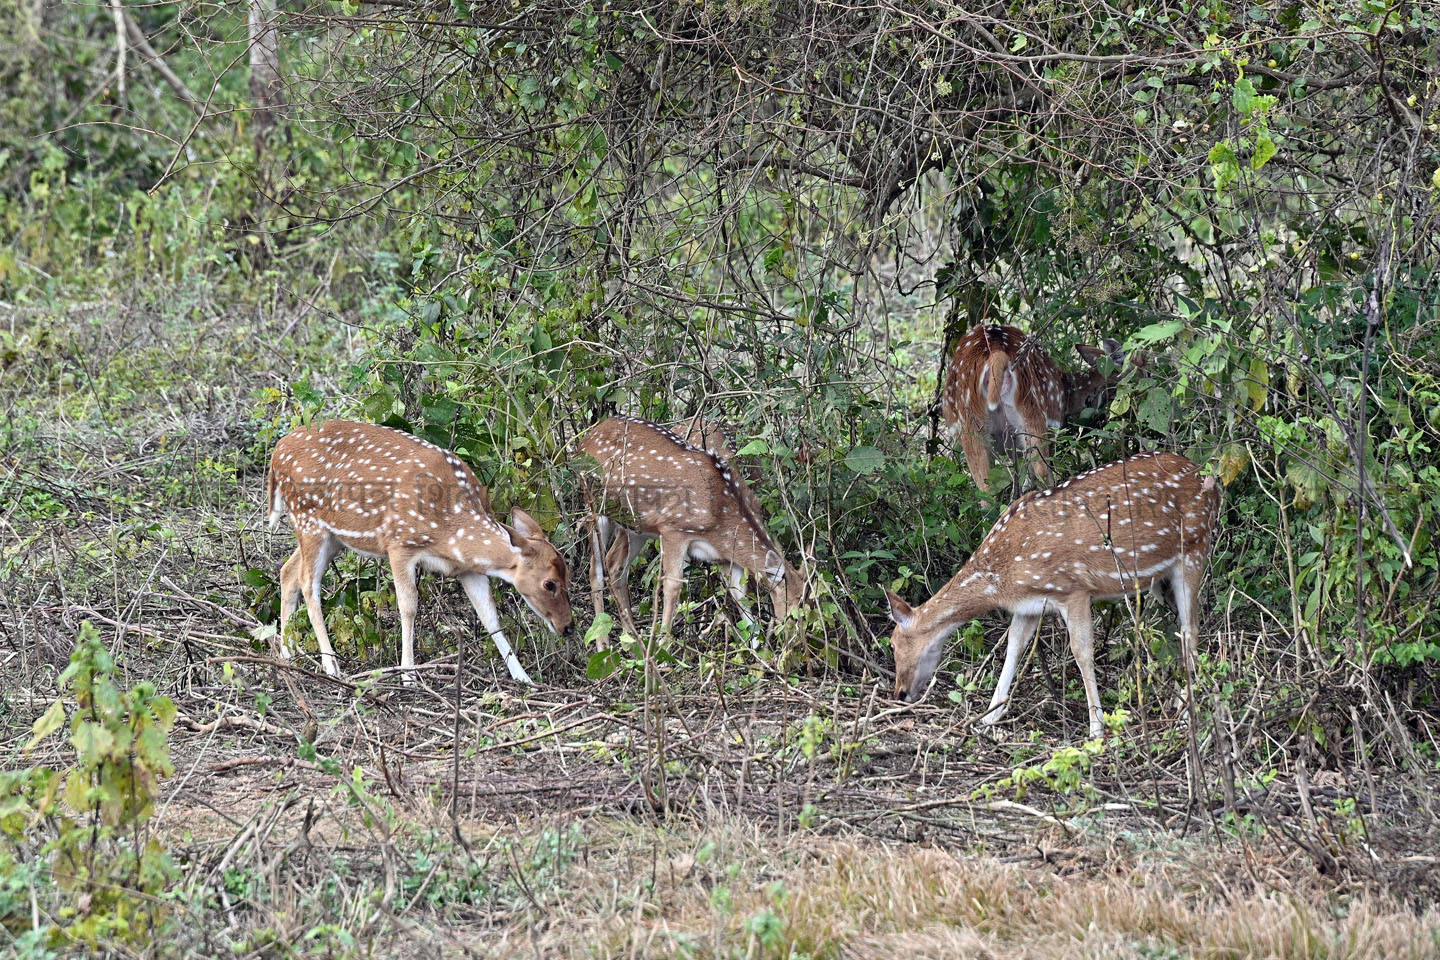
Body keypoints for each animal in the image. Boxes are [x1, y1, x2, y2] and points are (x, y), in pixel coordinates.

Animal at [267, 420, 570, 682]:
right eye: (549, 583)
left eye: (566, 576)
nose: (568, 626)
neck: (449, 530)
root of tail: (277, 453)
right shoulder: (399, 544)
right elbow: (408, 606)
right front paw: (408, 674)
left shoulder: (467, 568)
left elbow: (489, 614)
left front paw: (524, 678)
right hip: (308, 520)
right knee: (309, 583)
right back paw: (331, 665)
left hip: (333, 537)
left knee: (288, 572)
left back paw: (287, 654)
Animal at [578, 417, 806, 641]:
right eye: (795, 607)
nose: (797, 642)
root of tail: (586, 437)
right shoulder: (673, 529)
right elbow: (673, 586)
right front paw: (663, 645)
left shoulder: (723, 556)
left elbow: (739, 594)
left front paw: (756, 648)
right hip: (593, 503)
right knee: (595, 570)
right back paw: (603, 643)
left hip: (635, 526)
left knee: (615, 565)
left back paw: (631, 637)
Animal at [881, 454, 1221, 742]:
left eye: (894, 644)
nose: (900, 693)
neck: (1001, 577)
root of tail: (1209, 477)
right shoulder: (1029, 605)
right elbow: (1013, 647)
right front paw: (988, 717)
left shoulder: (1073, 589)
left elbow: (1082, 652)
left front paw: (1096, 729)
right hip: (1163, 579)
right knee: (1180, 631)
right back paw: (1176, 702)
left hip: (1195, 548)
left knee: (1191, 629)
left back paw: (1184, 715)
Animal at [938, 325, 1128, 492]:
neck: (1067, 392)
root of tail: (996, 352)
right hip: (1033, 404)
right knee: (1043, 472)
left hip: (970, 425)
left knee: (985, 488)